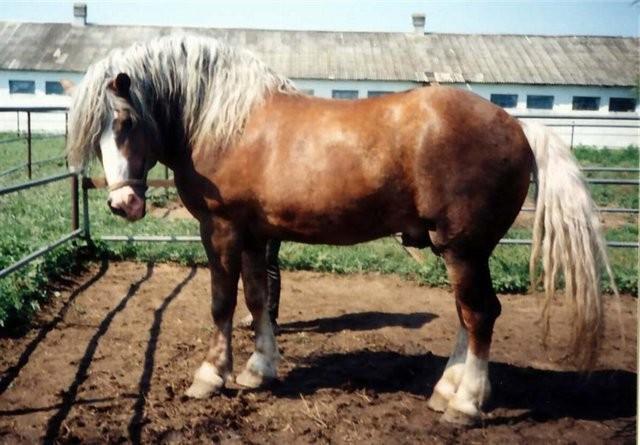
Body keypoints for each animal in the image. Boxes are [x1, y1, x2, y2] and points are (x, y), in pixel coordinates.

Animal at [66, 34, 616, 425]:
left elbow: (222, 303)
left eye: (125, 123)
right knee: (468, 315)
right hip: (462, 251)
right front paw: (258, 370)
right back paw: (446, 391)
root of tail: (517, 124)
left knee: (479, 315)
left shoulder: (220, 231)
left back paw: (466, 405)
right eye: (94, 134)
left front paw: (210, 376)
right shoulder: (256, 235)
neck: (225, 122)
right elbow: (258, 300)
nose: (122, 203)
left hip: (463, 247)